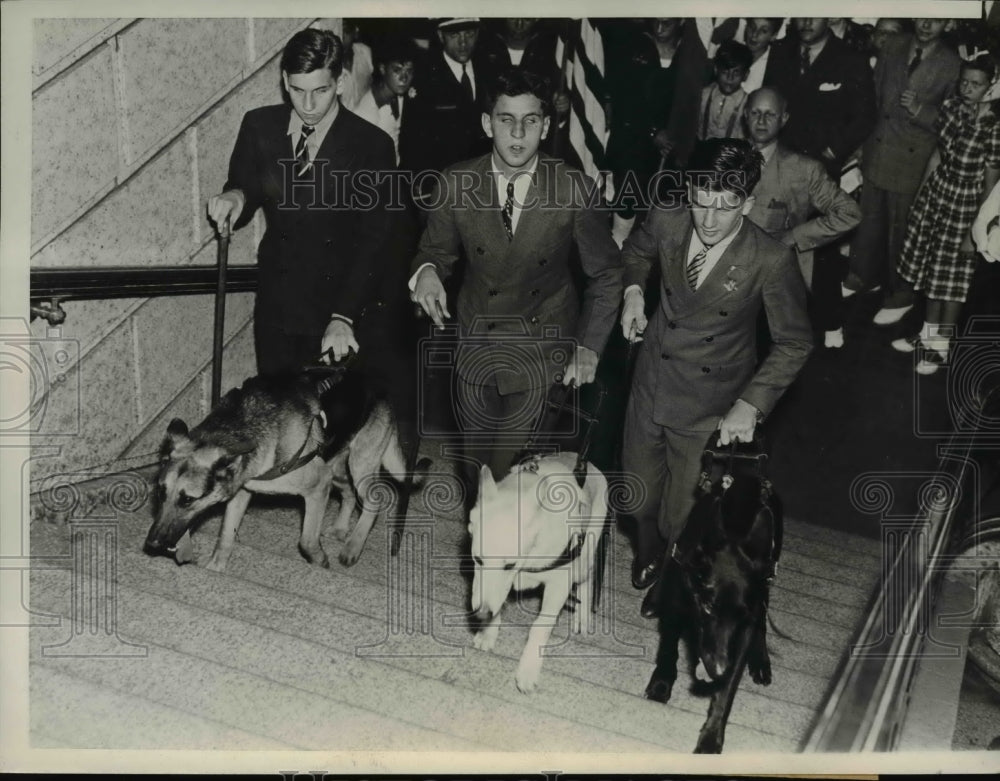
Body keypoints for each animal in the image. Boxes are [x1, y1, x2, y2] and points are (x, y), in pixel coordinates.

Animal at [143, 368, 408, 568]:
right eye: (160, 493)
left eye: (188, 500)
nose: (152, 544)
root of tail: (378, 387)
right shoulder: (242, 491)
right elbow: (226, 534)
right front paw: (216, 566)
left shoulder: (318, 486)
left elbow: (307, 540)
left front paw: (319, 561)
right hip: (338, 469)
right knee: (350, 493)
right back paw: (342, 528)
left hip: (359, 464)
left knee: (375, 500)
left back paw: (353, 545)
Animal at [470, 454, 608, 692]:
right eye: (478, 560)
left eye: (509, 565)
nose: (480, 615)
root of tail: (588, 464)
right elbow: (497, 603)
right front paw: (488, 633)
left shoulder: (558, 586)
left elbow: (539, 627)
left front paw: (527, 671)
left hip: (584, 557)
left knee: (587, 576)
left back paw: (583, 617)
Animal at [644, 448, 776, 752]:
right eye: (706, 606)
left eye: (739, 616)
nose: (716, 670)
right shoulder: (675, 605)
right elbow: (668, 647)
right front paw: (661, 683)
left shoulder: (744, 627)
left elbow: (727, 690)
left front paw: (711, 737)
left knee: (763, 619)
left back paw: (761, 660)